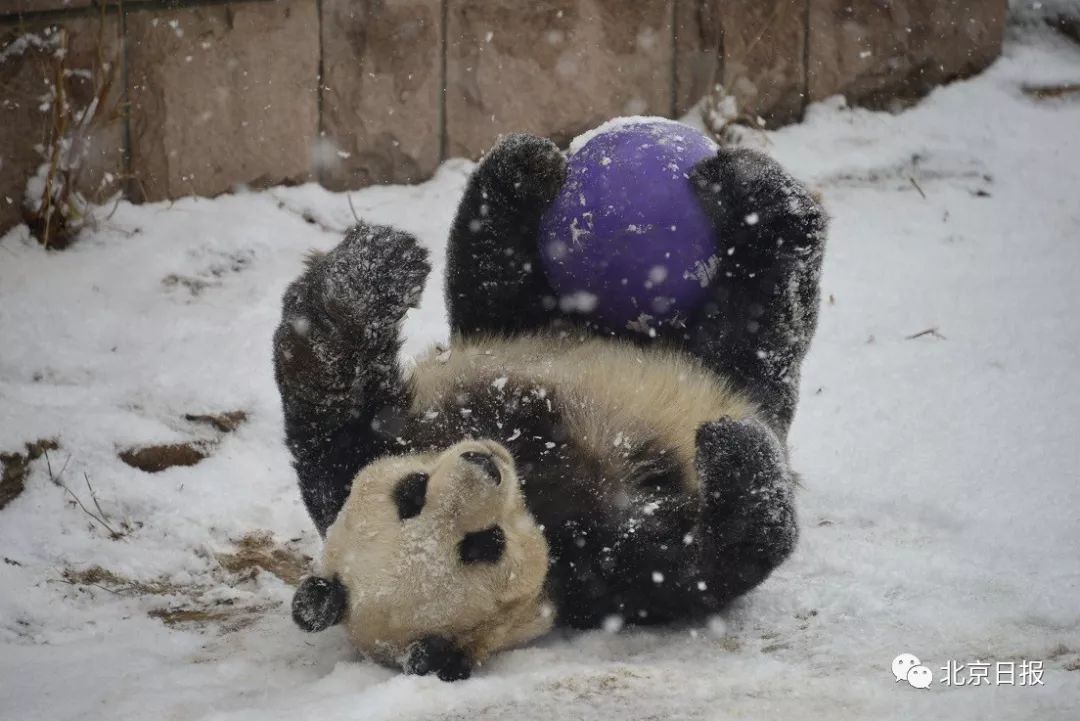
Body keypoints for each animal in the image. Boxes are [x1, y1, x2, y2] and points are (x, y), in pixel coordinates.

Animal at [272, 132, 825, 677]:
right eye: (482, 545)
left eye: (412, 491)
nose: (483, 464)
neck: (532, 485)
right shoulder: (600, 576)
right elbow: (711, 562)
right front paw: (730, 447)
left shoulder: (375, 448)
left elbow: (328, 403)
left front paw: (367, 273)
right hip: (744, 361)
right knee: (764, 311)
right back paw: (761, 196)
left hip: (533, 326)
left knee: (495, 277)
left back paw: (523, 169)